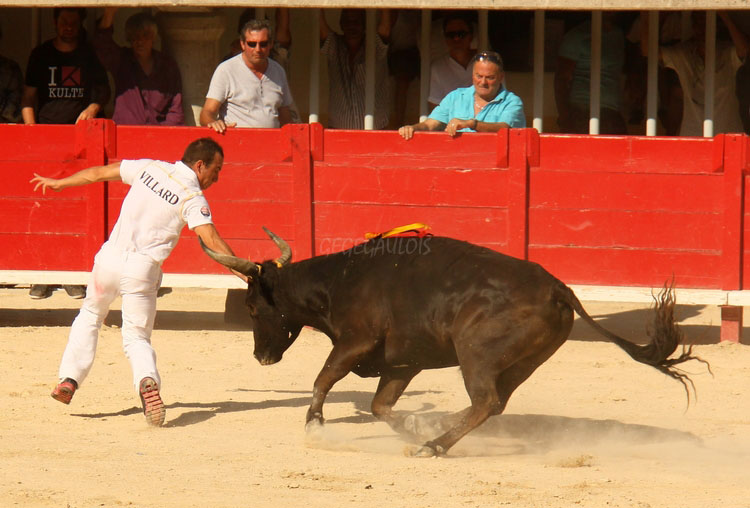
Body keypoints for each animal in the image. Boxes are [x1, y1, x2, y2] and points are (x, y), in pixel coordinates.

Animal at [203, 230, 708, 456]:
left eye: (252, 307)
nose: (261, 355)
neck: (339, 281)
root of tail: (558, 289)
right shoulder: (402, 364)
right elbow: (380, 407)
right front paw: (412, 424)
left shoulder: (355, 342)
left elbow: (323, 378)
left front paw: (314, 425)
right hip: (522, 363)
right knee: (496, 402)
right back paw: (437, 433)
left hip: (475, 355)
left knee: (485, 400)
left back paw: (434, 445)